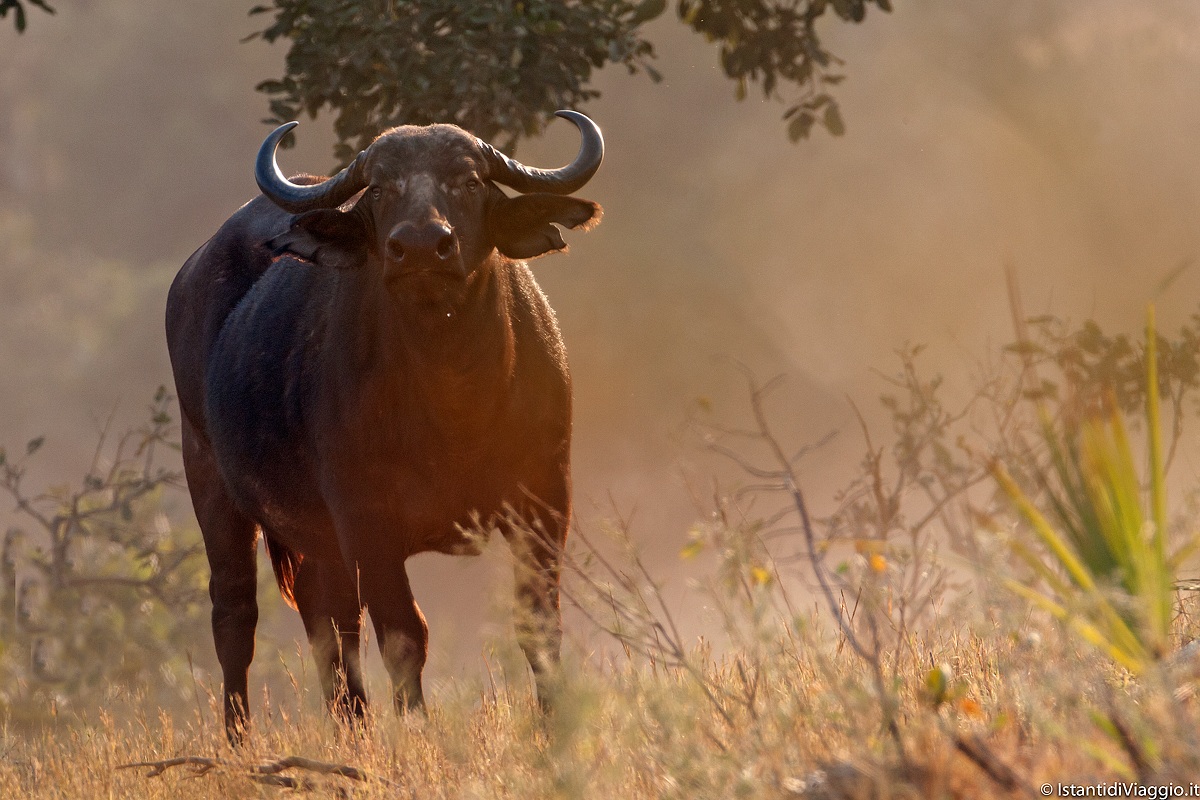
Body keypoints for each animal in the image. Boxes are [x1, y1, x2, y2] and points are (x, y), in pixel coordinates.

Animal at [165, 111, 602, 742]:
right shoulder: (367, 521)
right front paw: (417, 727)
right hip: (211, 484)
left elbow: (537, 621)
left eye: (469, 180)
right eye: (379, 188)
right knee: (236, 616)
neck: (454, 399)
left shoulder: (543, 501)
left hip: (317, 535)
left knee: (328, 623)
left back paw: (352, 725)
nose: (420, 246)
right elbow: (403, 635)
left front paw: (554, 723)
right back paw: (239, 738)